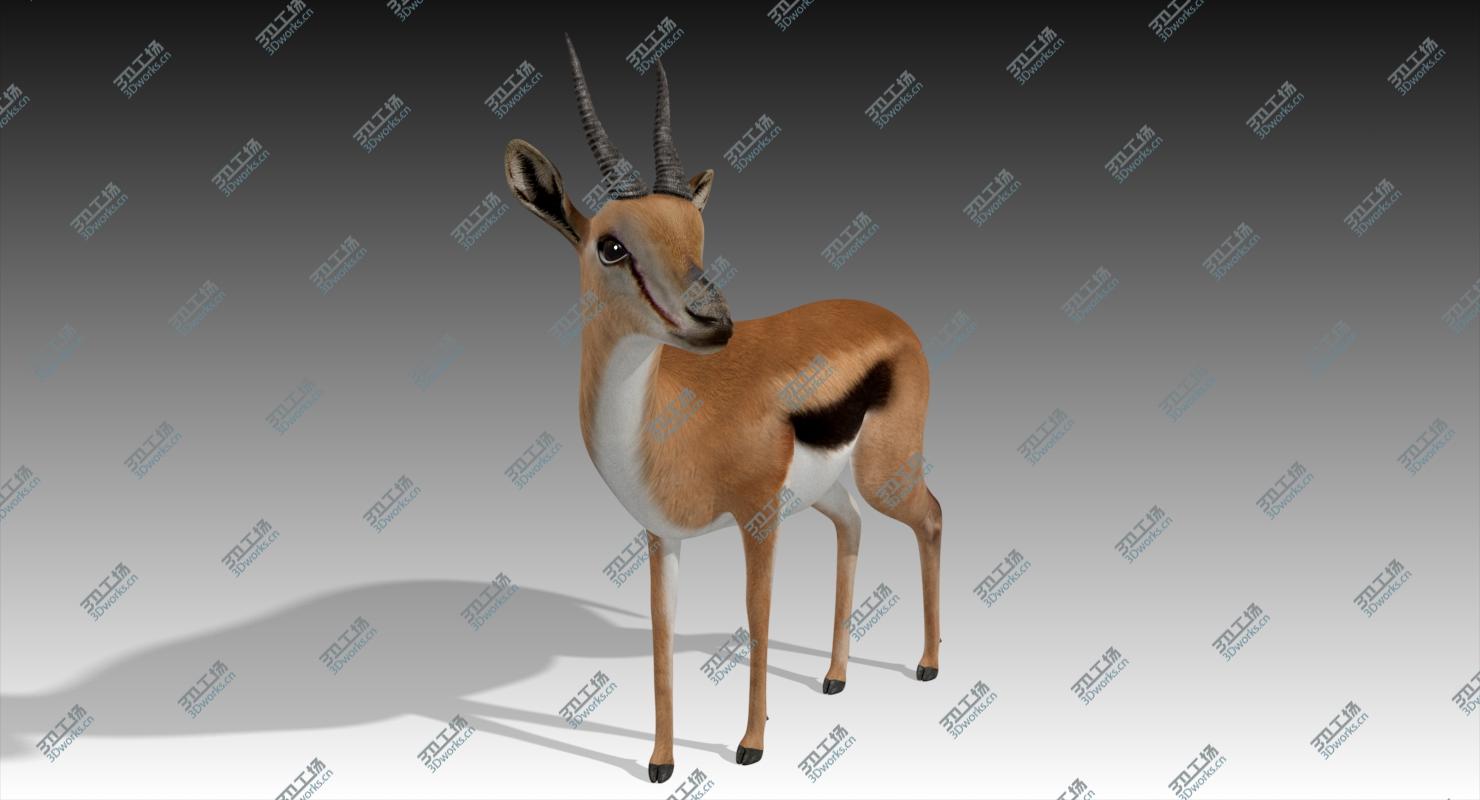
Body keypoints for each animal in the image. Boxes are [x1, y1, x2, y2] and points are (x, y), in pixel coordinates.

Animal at [503, 36, 943, 783]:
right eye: (611, 245)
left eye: (697, 229)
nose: (712, 320)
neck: (664, 421)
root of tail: (893, 318)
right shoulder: (661, 535)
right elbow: (661, 633)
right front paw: (660, 762)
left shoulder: (758, 518)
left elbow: (757, 618)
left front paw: (751, 745)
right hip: (830, 488)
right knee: (853, 527)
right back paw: (835, 678)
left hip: (887, 472)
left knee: (931, 517)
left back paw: (929, 665)